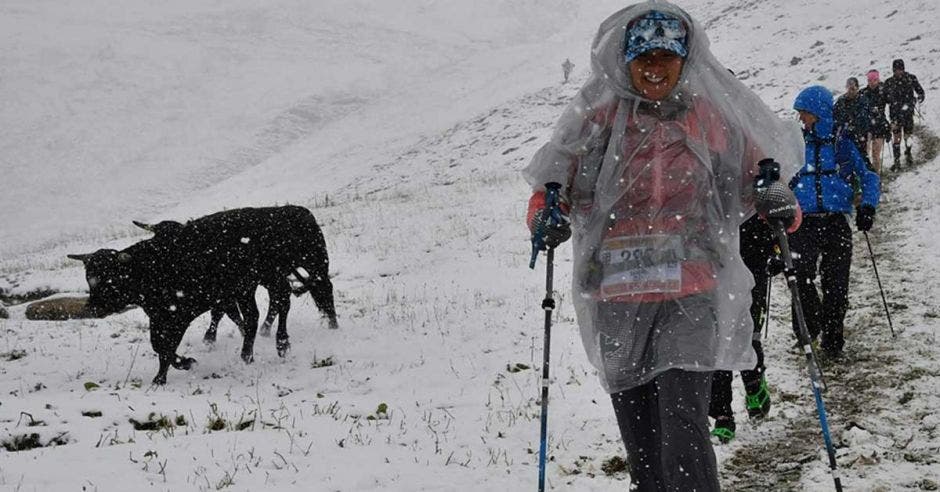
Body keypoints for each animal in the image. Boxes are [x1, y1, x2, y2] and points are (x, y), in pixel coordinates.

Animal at [70, 204, 342, 384]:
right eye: (89, 278)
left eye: (112, 278)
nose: (93, 306)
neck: (155, 266)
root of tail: (296, 210)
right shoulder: (159, 316)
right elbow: (158, 343)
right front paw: (161, 376)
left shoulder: (181, 313)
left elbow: (167, 345)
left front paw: (182, 365)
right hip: (253, 285)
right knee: (260, 313)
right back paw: (249, 353)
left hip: (303, 268)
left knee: (299, 297)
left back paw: (289, 339)